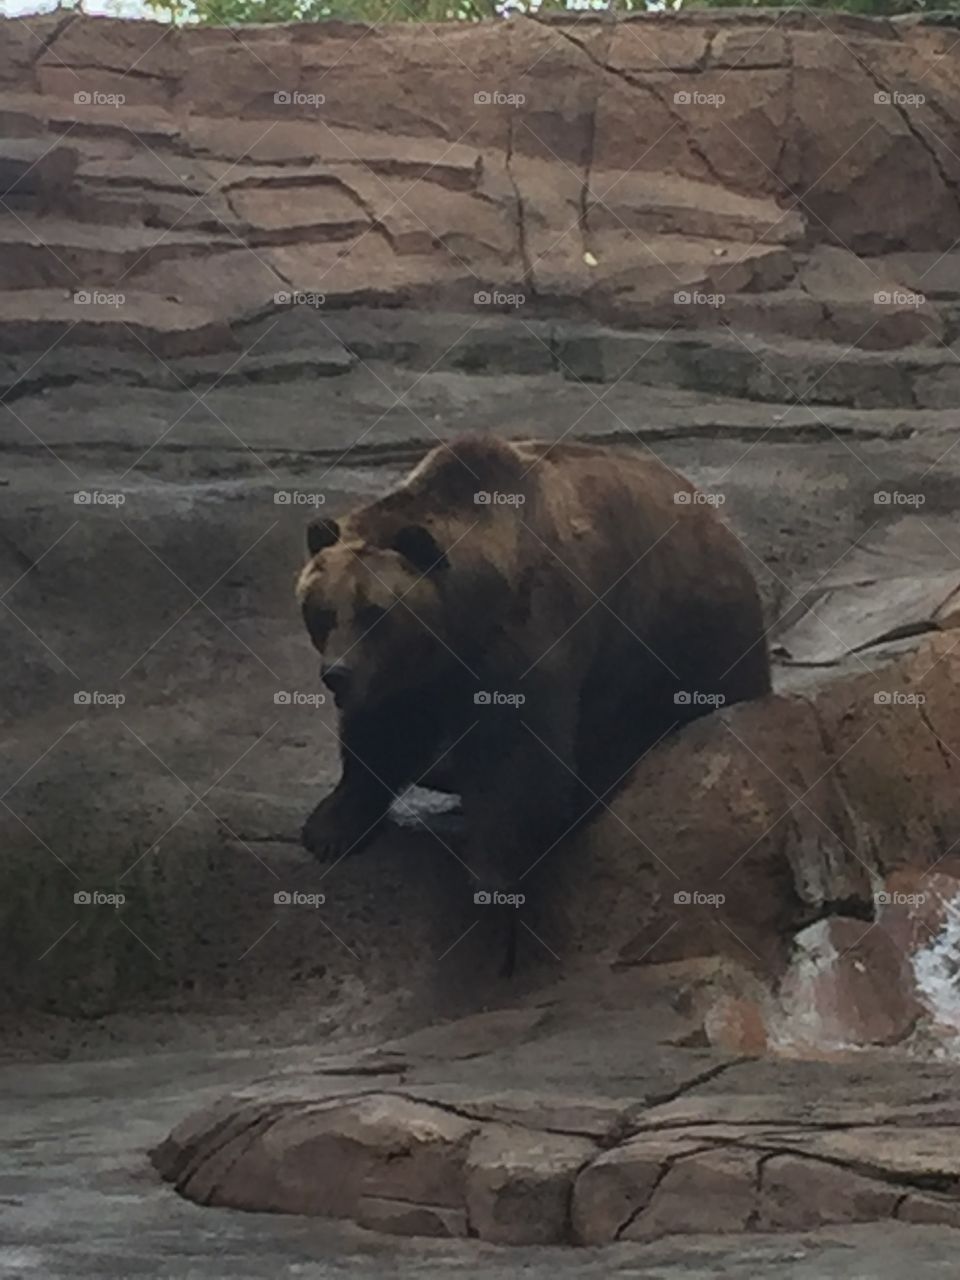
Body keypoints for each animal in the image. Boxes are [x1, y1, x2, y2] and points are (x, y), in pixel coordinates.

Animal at [295, 433, 771, 898]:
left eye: (373, 612)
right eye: (321, 611)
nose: (335, 673)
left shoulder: (530, 629)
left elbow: (519, 752)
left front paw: (492, 871)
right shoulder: (407, 671)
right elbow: (385, 726)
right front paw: (331, 826)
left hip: (685, 635)